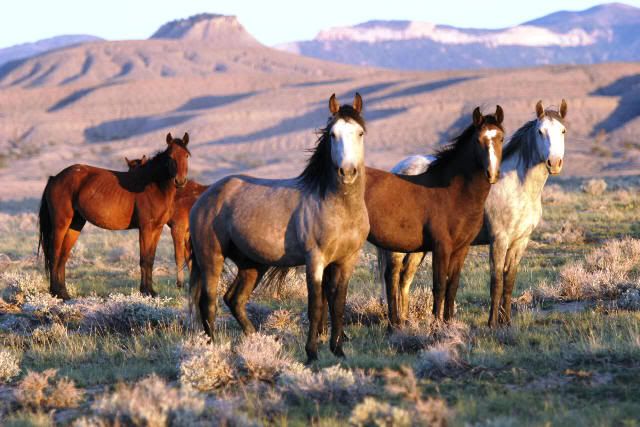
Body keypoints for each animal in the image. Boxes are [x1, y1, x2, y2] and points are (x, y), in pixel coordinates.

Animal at [37, 132, 190, 300]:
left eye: (186, 155)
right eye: (170, 157)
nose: (180, 181)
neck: (153, 185)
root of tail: (55, 178)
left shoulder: (157, 229)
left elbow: (150, 259)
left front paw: (151, 291)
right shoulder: (146, 228)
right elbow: (144, 259)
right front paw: (145, 291)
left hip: (75, 224)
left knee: (63, 257)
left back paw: (64, 293)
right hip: (60, 224)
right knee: (54, 254)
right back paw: (56, 292)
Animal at [189, 93, 370, 362]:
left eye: (359, 132)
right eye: (332, 134)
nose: (347, 172)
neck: (340, 208)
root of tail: (205, 197)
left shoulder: (347, 261)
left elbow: (338, 305)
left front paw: (338, 351)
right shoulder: (315, 260)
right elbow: (316, 307)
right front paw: (312, 353)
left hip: (253, 265)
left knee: (234, 300)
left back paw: (258, 342)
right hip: (211, 258)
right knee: (208, 303)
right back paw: (211, 348)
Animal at [364, 106, 504, 328]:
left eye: (501, 138)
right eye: (478, 140)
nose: (491, 174)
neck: (453, 193)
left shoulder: (461, 248)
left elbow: (452, 286)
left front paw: (448, 322)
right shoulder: (441, 247)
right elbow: (438, 286)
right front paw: (436, 324)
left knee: (401, 277)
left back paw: (401, 322)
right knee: (391, 277)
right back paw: (394, 323)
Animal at [378, 99, 568, 328]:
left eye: (563, 131)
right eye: (541, 131)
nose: (554, 163)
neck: (517, 187)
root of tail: (398, 168)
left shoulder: (520, 241)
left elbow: (509, 281)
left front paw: (507, 322)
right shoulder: (499, 240)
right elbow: (496, 282)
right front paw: (493, 323)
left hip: (418, 246)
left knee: (406, 276)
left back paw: (406, 321)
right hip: (398, 248)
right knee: (393, 275)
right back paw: (396, 322)